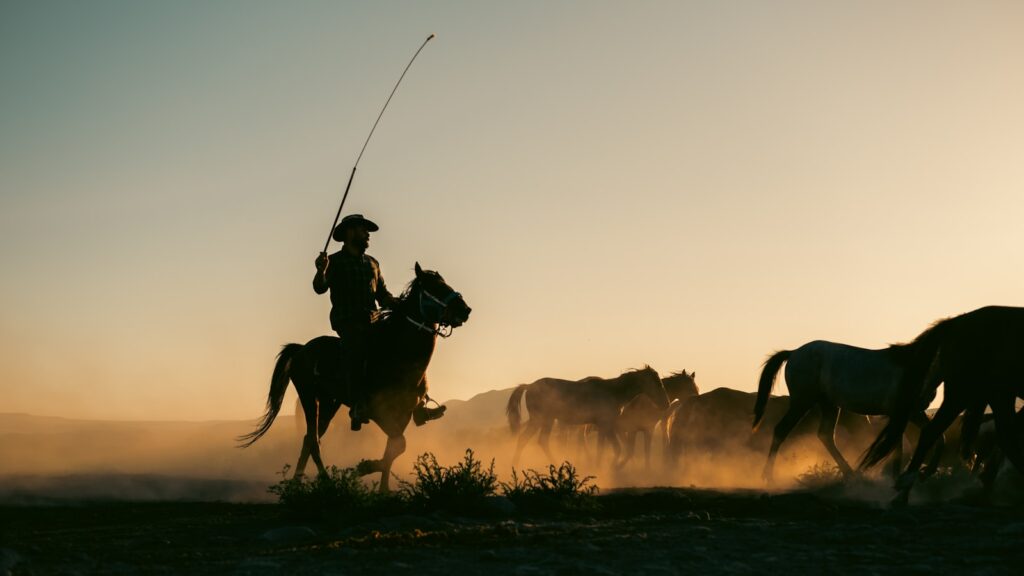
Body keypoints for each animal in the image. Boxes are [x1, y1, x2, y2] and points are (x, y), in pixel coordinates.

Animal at [237, 263, 471, 491]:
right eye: (435, 287)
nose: (465, 309)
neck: (398, 358)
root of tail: (301, 349)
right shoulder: (378, 412)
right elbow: (398, 444)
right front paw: (364, 467)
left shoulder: (403, 414)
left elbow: (392, 449)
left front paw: (382, 490)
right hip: (309, 397)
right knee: (313, 440)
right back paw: (326, 483)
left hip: (330, 403)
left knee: (309, 439)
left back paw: (296, 484)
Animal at [506, 367, 669, 467]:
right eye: (657, 383)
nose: (666, 403)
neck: (613, 392)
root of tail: (529, 386)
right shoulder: (606, 424)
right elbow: (612, 449)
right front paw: (609, 467)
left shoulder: (605, 427)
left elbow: (607, 448)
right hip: (543, 420)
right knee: (535, 440)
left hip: (543, 421)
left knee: (531, 440)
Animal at [754, 340, 943, 484]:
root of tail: (793, 353)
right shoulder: (905, 413)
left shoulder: (910, 413)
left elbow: (929, 437)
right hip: (802, 402)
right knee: (781, 430)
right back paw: (768, 476)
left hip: (829, 405)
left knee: (825, 435)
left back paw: (850, 474)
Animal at [861, 306, 1024, 501]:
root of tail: (956, 321)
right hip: (962, 393)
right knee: (931, 432)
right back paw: (904, 491)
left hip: (997, 394)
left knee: (1007, 435)